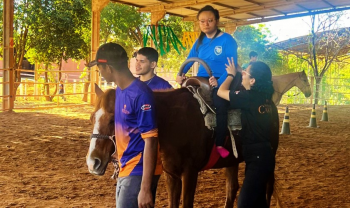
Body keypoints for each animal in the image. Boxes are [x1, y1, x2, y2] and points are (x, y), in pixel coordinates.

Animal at [85, 84, 278, 206]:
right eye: (92, 118)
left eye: (113, 119)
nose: (93, 162)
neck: (172, 121)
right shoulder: (171, 175)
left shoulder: (190, 173)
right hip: (231, 161)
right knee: (231, 190)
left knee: (267, 188)